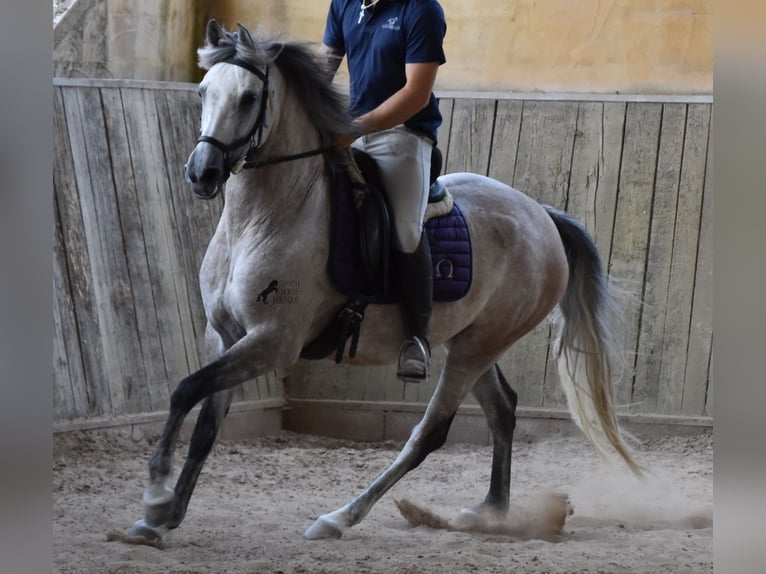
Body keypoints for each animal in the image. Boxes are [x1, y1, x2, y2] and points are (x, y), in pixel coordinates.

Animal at [127, 19, 640, 544]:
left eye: (250, 98)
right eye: (204, 92)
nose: (201, 173)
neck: (262, 220)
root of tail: (541, 214)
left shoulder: (273, 342)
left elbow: (185, 389)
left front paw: (156, 495)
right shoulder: (225, 335)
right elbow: (206, 424)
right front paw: (163, 516)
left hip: (478, 346)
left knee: (430, 433)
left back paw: (340, 517)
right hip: (472, 340)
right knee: (503, 409)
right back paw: (490, 513)